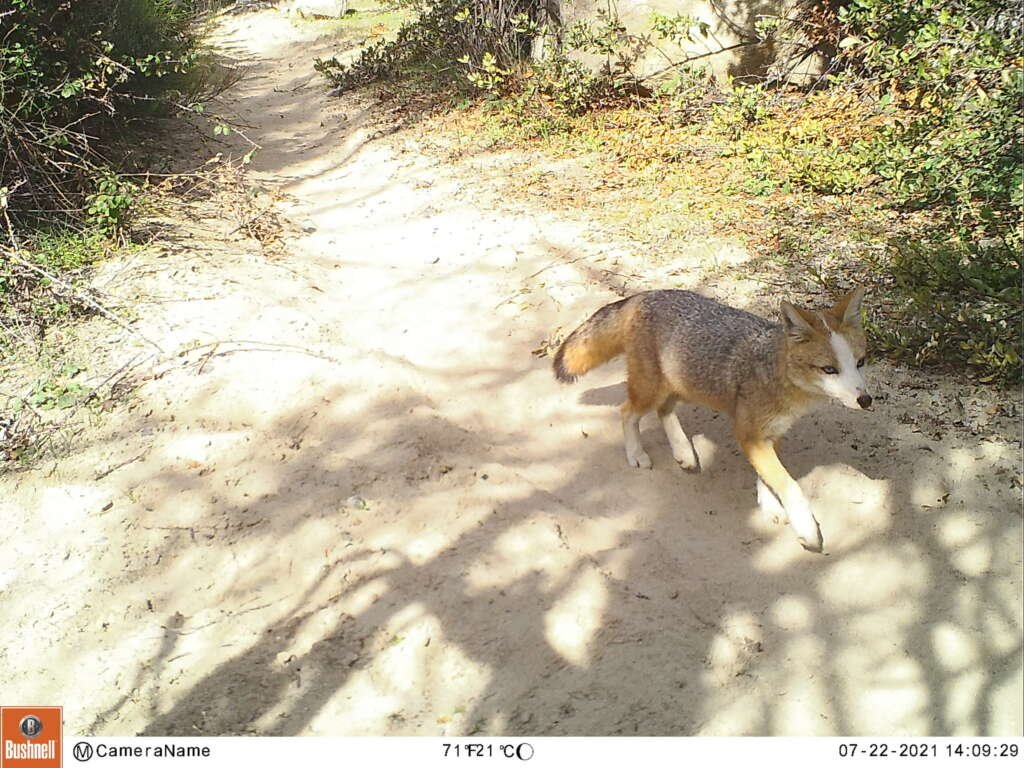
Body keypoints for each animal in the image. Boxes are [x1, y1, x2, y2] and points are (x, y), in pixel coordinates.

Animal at [552, 288, 872, 552]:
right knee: (626, 411)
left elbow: (768, 476)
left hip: (680, 384)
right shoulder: (748, 434)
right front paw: (806, 528)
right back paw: (637, 454)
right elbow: (788, 484)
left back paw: (683, 450)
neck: (775, 371)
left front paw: (769, 505)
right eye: (829, 369)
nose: (866, 400)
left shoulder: (771, 433)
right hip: (652, 390)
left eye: (860, 363)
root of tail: (647, 294)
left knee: (664, 410)